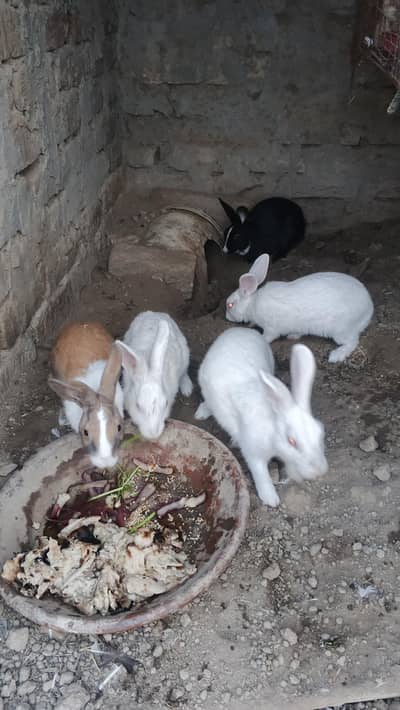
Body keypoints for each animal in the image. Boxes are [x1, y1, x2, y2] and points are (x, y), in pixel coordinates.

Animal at [116, 311, 193, 440]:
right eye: (137, 405)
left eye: (166, 403)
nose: (153, 434)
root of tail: (154, 313)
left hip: (185, 355)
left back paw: (187, 389)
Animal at [195, 327, 327, 507]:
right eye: (291, 441)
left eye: (321, 434)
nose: (319, 471)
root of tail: (240, 330)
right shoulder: (254, 453)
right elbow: (261, 474)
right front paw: (271, 499)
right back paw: (202, 413)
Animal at [225, 254, 374, 363]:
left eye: (230, 305)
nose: (226, 317)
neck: (252, 303)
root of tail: (368, 308)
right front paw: (293, 336)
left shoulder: (271, 329)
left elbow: (267, 337)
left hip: (341, 331)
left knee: (352, 342)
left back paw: (336, 355)